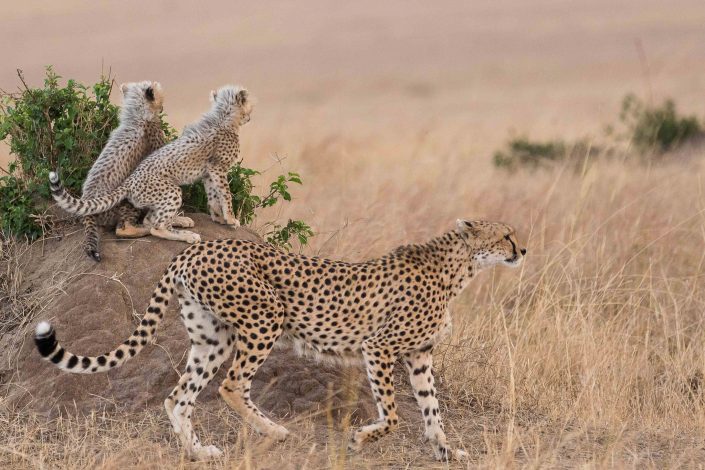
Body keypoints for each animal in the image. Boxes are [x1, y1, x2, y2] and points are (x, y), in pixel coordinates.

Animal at [35, 218, 524, 460]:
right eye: (505, 235)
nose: (523, 249)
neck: (458, 268)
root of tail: (198, 246)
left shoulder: (420, 354)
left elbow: (431, 408)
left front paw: (446, 450)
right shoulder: (379, 347)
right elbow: (394, 416)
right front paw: (359, 440)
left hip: (211, 338)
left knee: (178, 396)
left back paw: (198, 451)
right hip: (265, 317)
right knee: (232, 385)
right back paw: (273, 430)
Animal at [46, 86, 252, 244]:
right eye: (249, 109)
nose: (249, 118)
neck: (222, 117)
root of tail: (129, 181)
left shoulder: (210, 171)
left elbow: (213, 196)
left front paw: (219, 218)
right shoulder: (218, 168)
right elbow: (226, 195)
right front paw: (231, 219)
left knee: (150, 220)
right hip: (170, 191)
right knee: (155, 226)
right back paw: (187, 236)